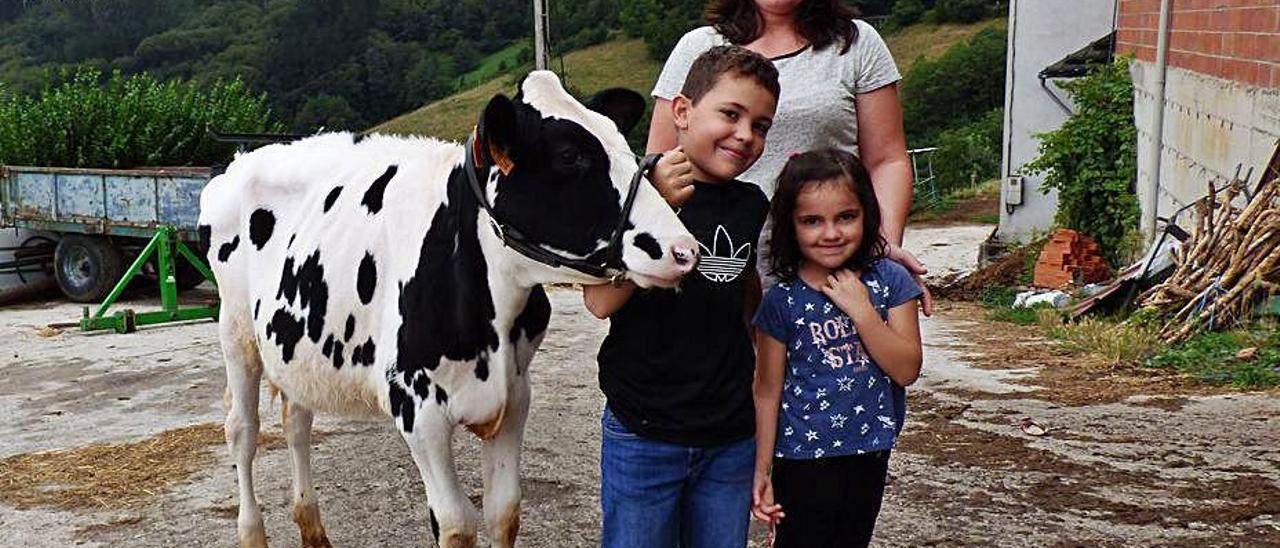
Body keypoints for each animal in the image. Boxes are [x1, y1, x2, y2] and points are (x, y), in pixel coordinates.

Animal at [200, 70, 701, 545]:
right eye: (568, 156)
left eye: (619, 139)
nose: (684, 251)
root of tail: (242, 162)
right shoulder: (417, 408)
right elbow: (457, 523)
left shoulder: (515, 396)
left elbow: (505, 512)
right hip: (236, 331)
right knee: (242, 431)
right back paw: (252, 533)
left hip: (295, 348)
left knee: (297, 423)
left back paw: (313, 530)